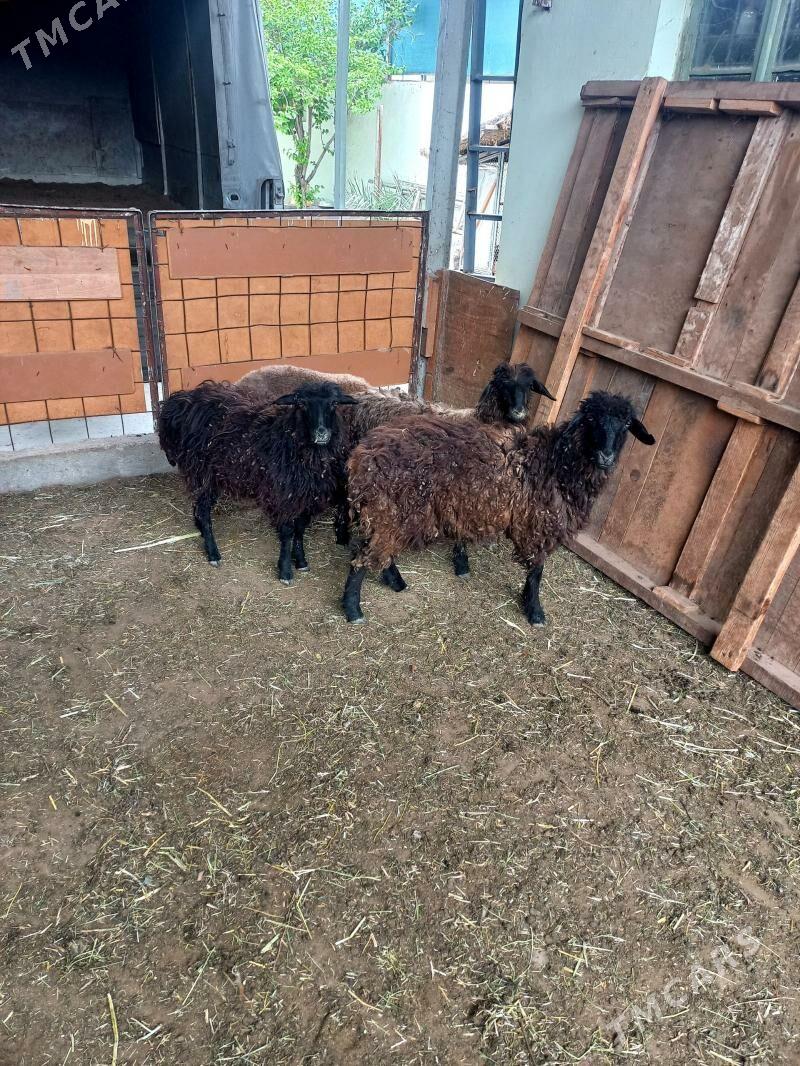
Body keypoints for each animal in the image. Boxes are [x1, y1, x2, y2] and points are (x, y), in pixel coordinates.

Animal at [158, 379, 358, 583]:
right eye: (302, 404)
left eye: (334, 403)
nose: (322, 433)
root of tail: (179, 401)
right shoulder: (283, 495)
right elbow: (288, 532)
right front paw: (285, 570)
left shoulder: (305, 496)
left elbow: (300, 529)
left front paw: (301, 561)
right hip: (201, 472)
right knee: (204, 511)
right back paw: (213, 553)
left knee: (198, 505)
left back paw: (198, 528)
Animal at [342, 391, 655, 625]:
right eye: (591, 420)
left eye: (626, 425)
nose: (606, 456)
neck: (555, 463)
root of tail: (362, 456)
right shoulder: (538, 522)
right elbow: (537, 570)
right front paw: (534, 611)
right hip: (391, 508)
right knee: (362, 556)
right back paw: (353, 609)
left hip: (392, 512)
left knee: (377, 550)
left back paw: (393, 581)